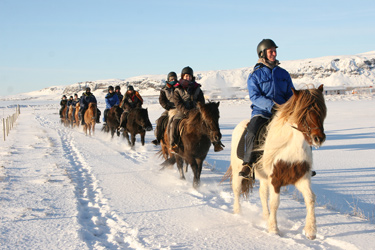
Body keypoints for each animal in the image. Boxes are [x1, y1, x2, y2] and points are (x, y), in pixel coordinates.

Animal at [225, 85, 328, 240]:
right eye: (304, 112)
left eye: (322, 111)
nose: (318, 138)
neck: (290, 148)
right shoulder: (275, 179)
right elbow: (274, 203)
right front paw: (274, 230)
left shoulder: (301, 177)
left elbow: (310, 198)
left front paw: (311, 231)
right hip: (239, 171)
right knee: (236, 190)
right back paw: (238, 213)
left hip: (264, 178)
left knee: (262, 194)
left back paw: (265, 217)